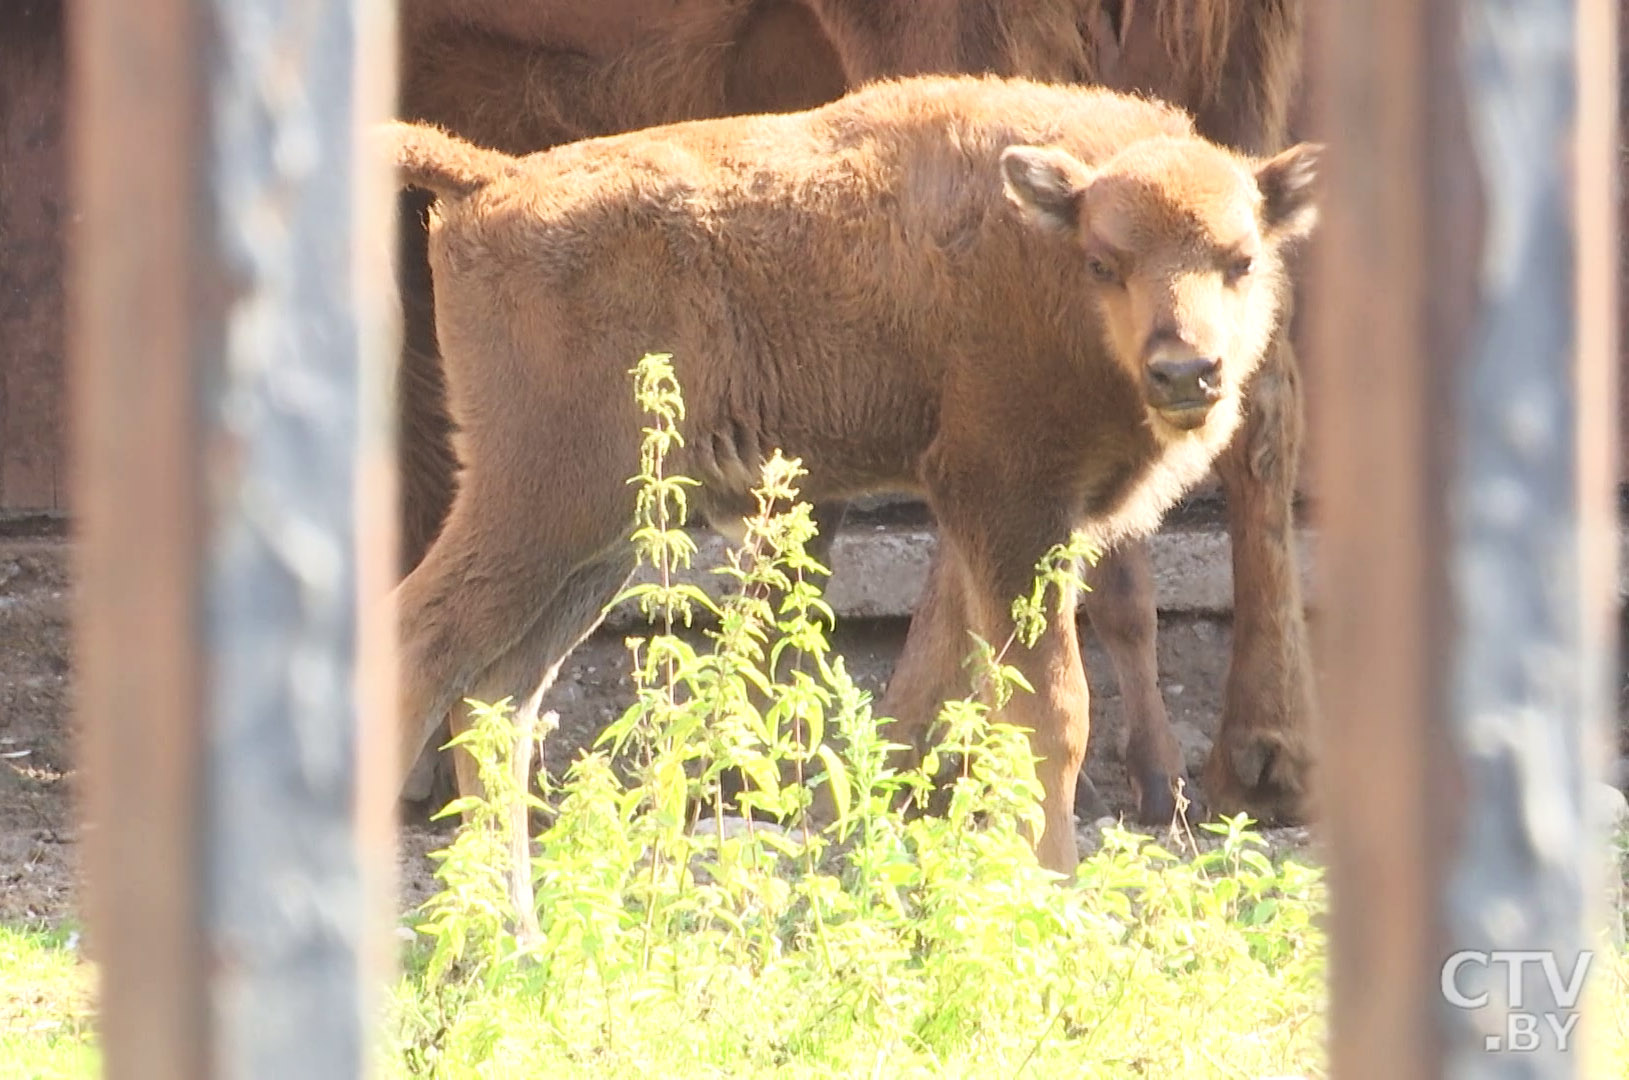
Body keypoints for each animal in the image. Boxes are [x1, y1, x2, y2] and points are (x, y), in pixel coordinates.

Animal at [397, 0, 1322, 827]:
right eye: (1105, 262)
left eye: (1242, 260)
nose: (1186, 371)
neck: (1040, 242)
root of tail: (492, 176)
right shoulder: (1006, 499)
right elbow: (1046, 715)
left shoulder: (1021, 522)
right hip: (546, 502)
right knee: (427, 649)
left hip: (597, 528)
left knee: (498, 693)